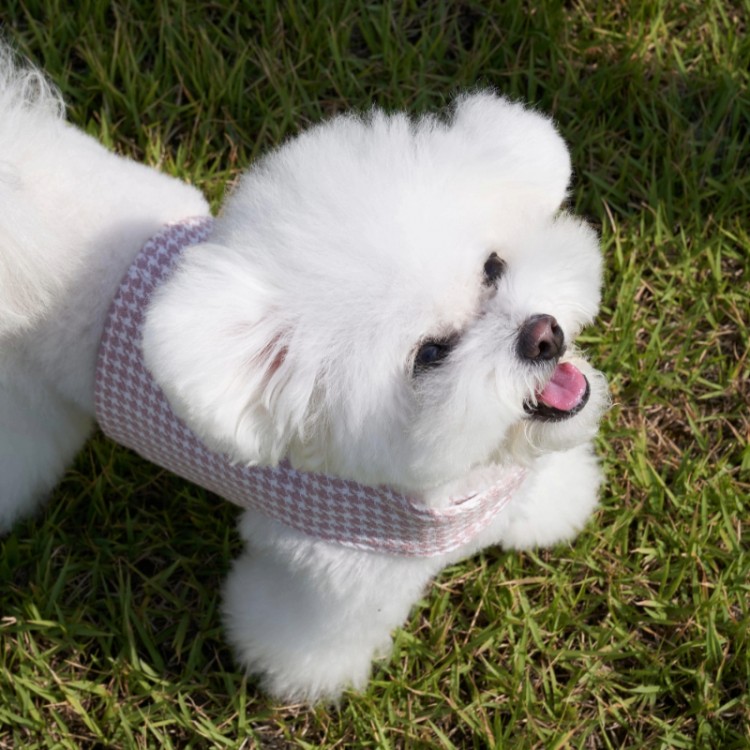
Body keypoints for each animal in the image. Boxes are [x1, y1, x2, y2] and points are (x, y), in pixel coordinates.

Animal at [0, 45, 608, 702]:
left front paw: (556, 502)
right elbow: (305, 636)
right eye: (430, 354)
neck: (454, 485)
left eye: (492, 268)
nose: (543, 334)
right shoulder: (328, 579)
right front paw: (298, 677)